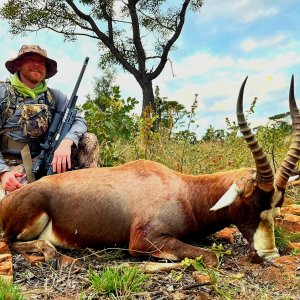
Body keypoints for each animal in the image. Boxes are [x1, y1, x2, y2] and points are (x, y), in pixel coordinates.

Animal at [0, 77, 298, 268]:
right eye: (251, 202)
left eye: (277, 207)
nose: (269, 255)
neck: (183, 190)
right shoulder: (143, 241)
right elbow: (211, 258)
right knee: (11, 243)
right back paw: (59, 257)